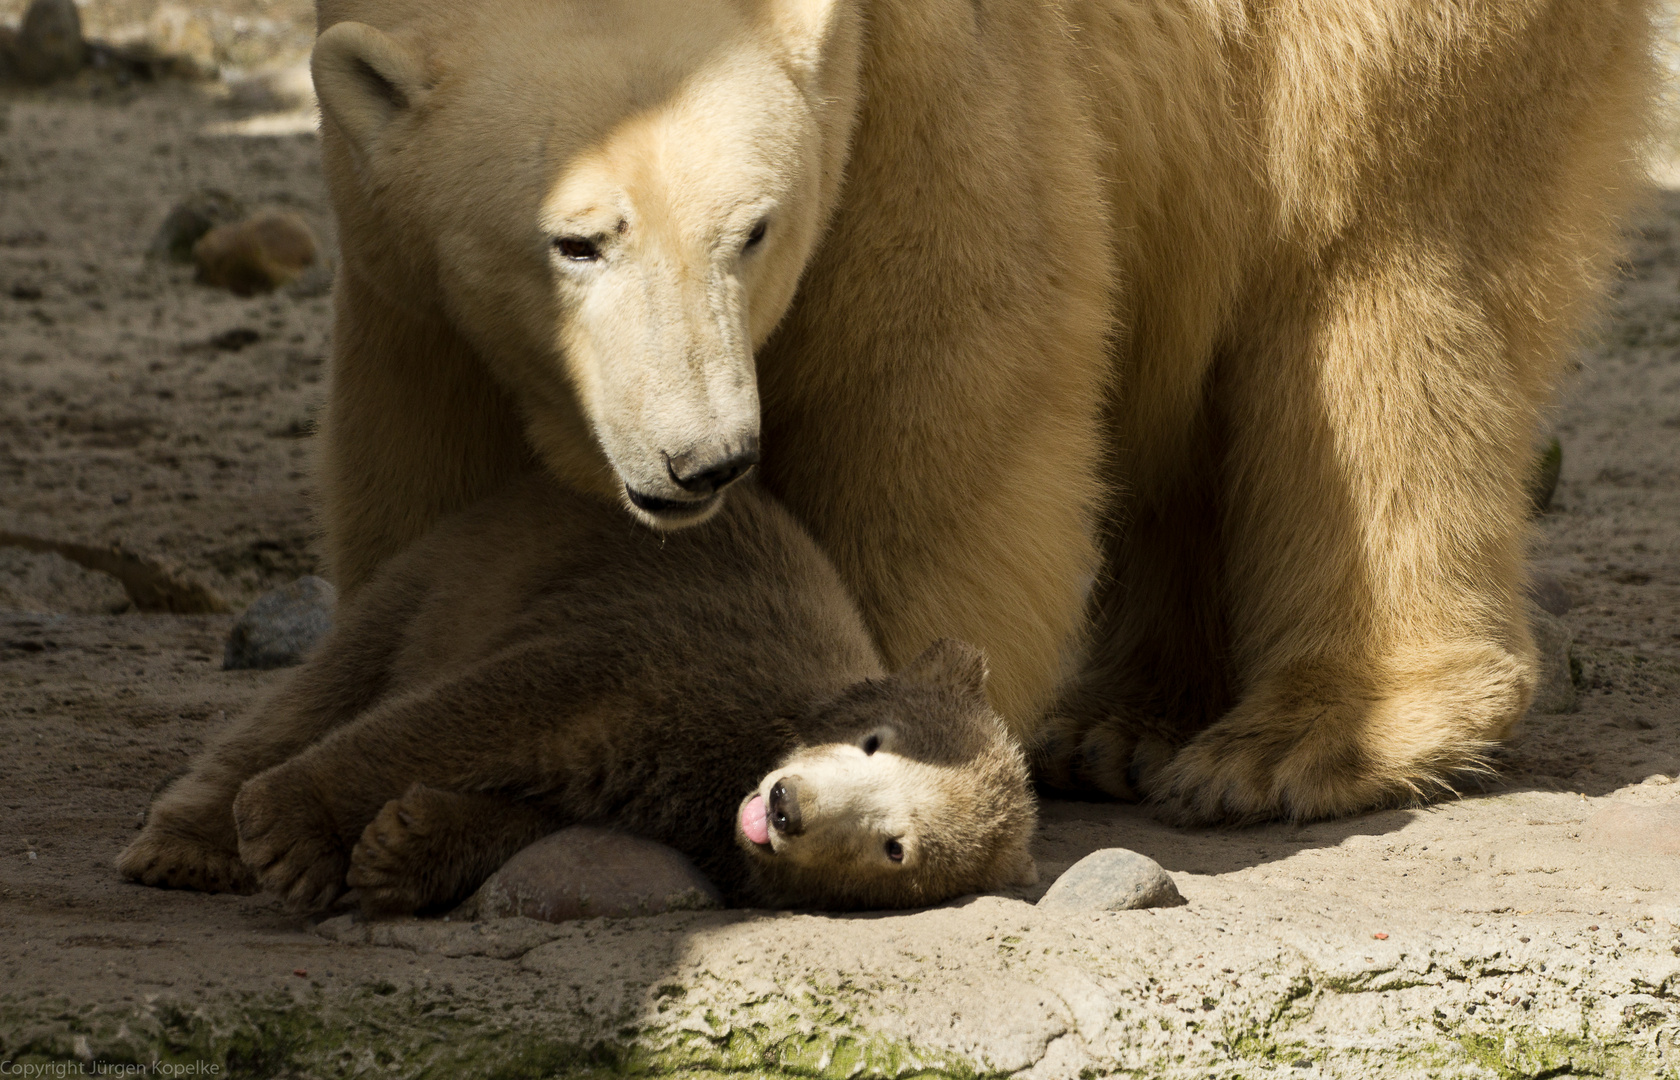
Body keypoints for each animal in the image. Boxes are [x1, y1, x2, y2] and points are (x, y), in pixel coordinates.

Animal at [309, 0, 1646, 823]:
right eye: (574, 242)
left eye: (755, 230)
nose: (704, 461)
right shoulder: (395, 253)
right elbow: (436, 465)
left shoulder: (920, 85)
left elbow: (940, 385)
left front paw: (872, 748)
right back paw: (1122, 723)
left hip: (1382, 54)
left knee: (1364, 293)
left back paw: (1296, 745)